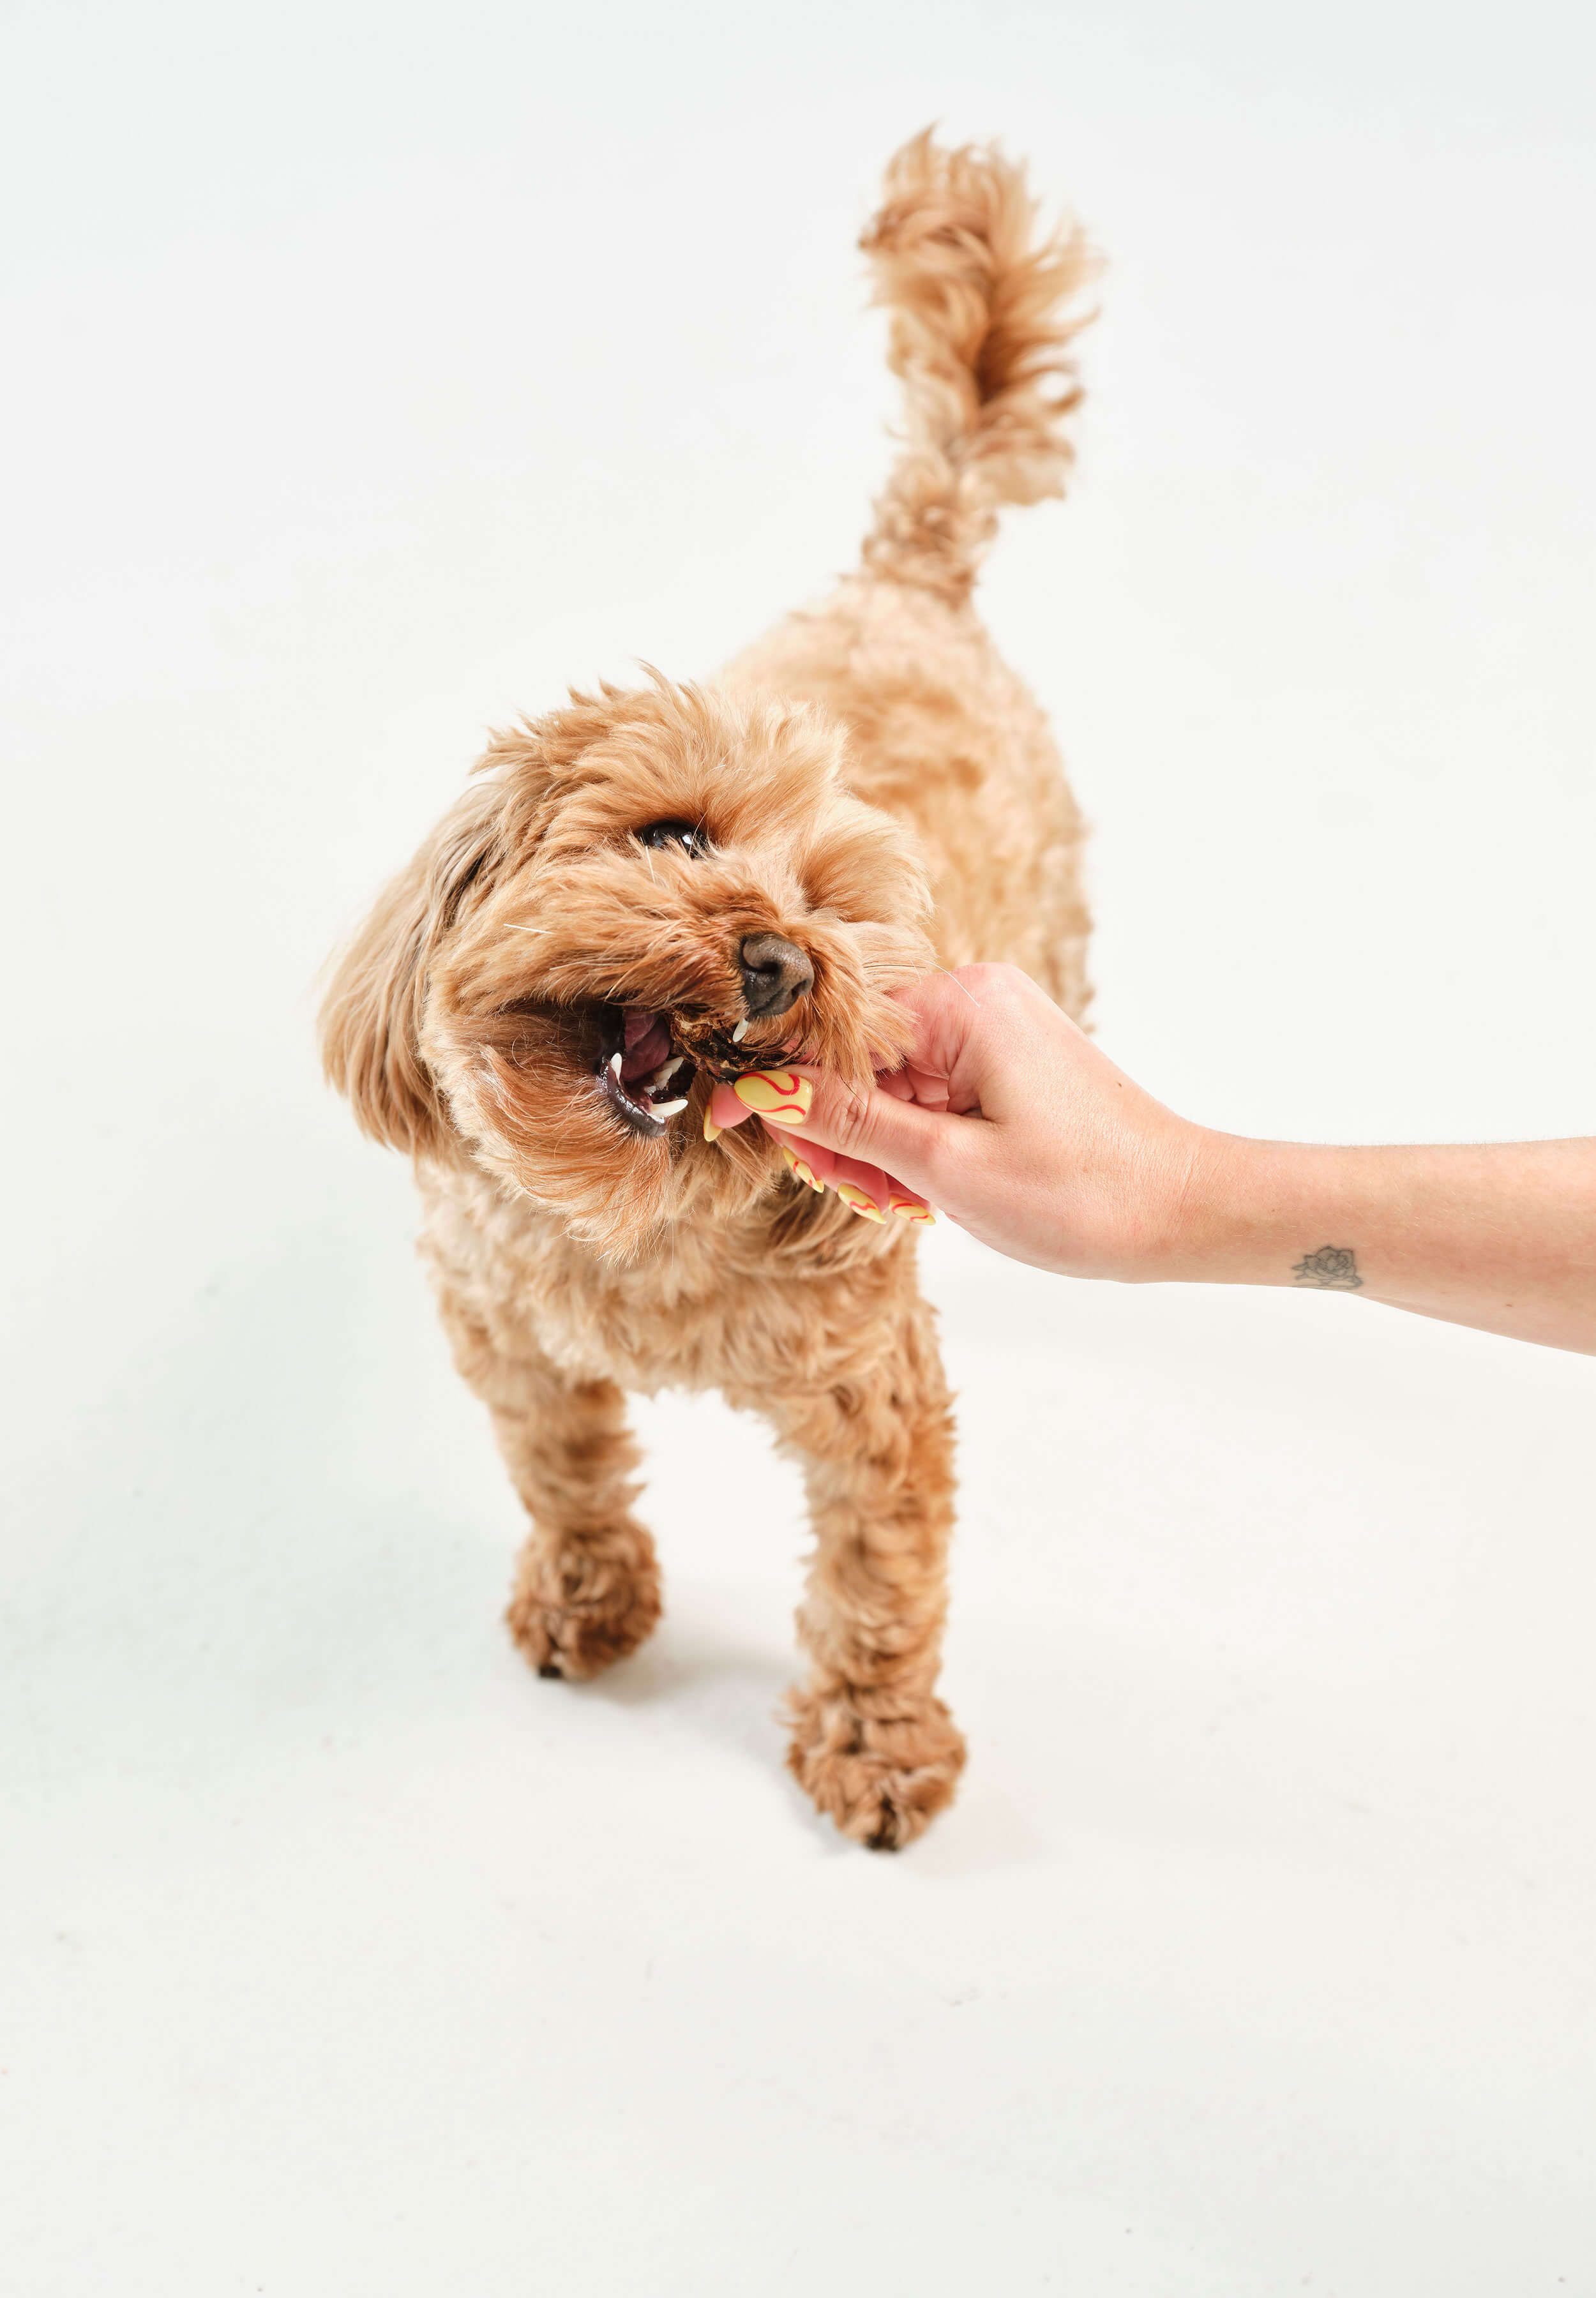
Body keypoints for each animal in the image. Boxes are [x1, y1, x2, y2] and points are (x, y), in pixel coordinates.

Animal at [324, 130, 1099, 1847]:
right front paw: (585, 1599)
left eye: (845, 926)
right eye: (674, 835)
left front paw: (875, 1746)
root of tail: (909, 582)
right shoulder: (506, 1333)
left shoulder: (875, 1396)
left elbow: (879, 1579)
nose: (776, 958)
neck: (635, 1237)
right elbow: (562, 1470)